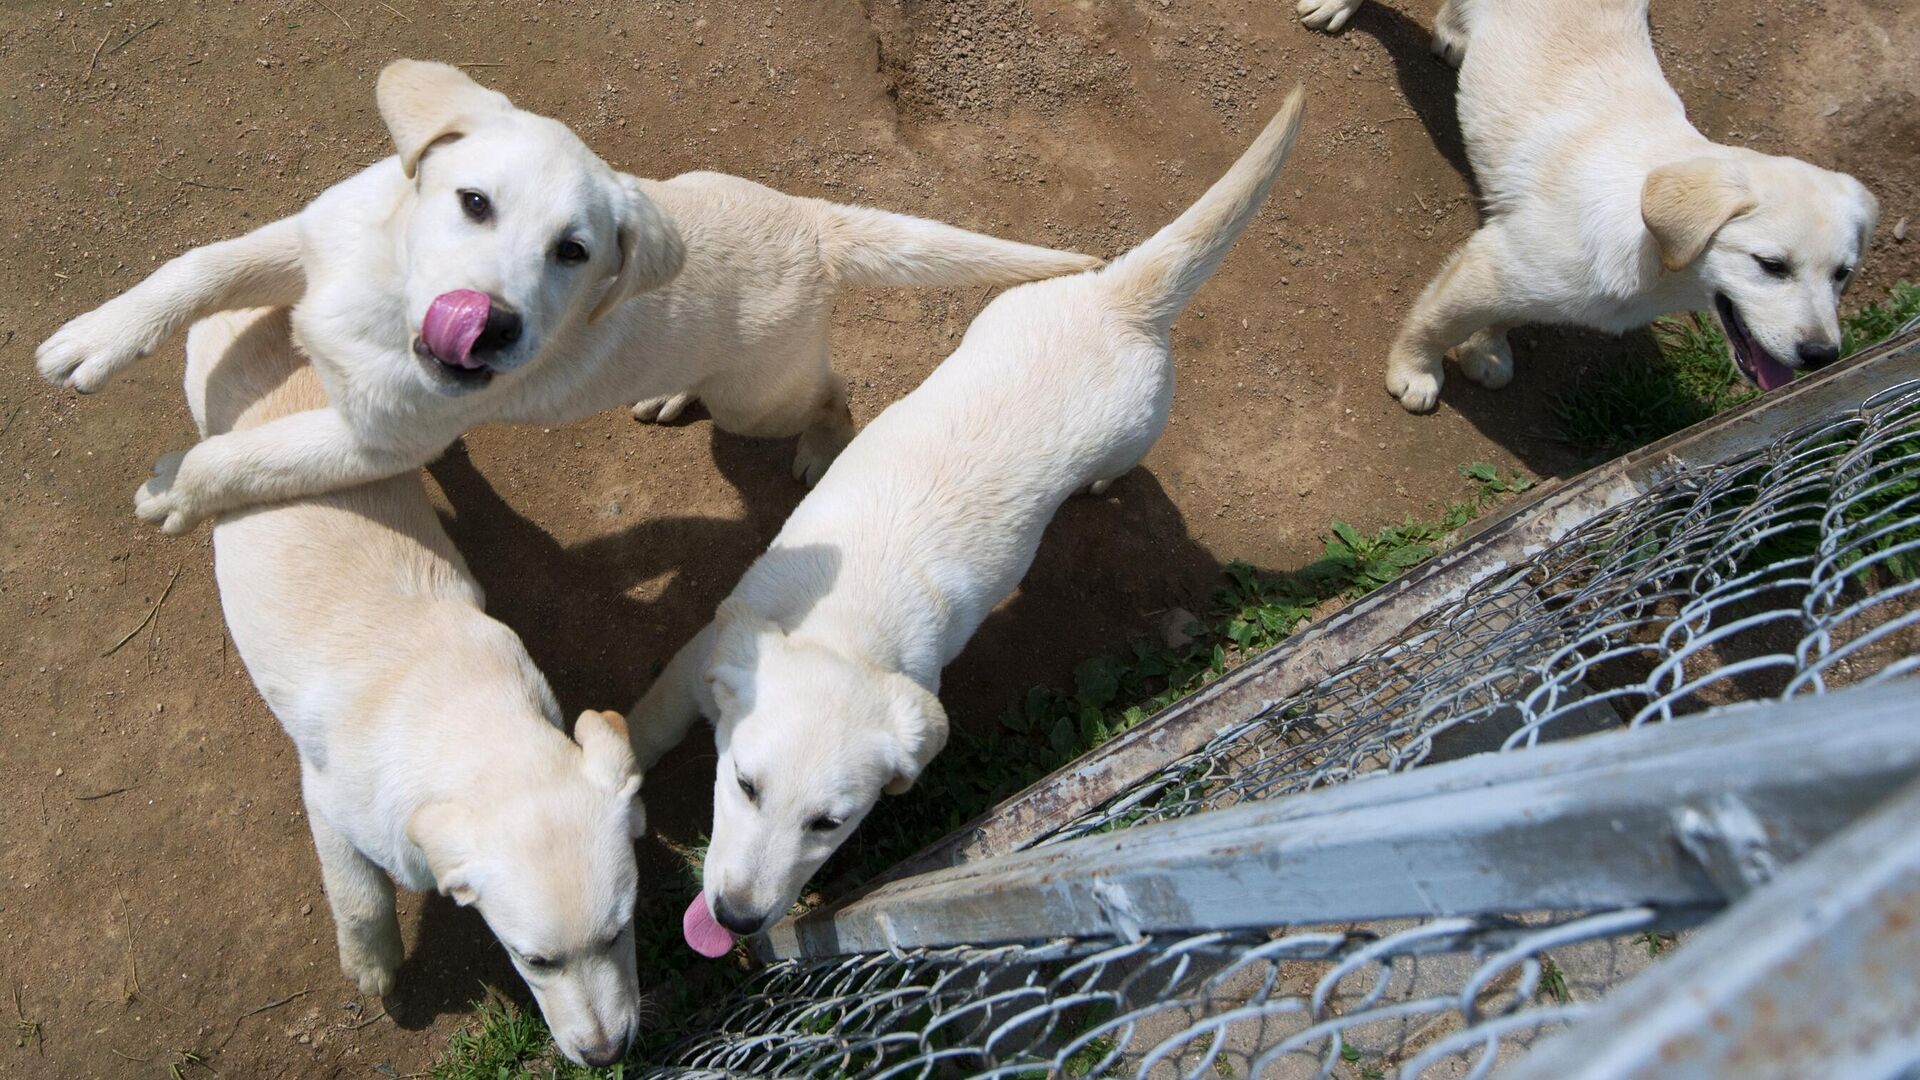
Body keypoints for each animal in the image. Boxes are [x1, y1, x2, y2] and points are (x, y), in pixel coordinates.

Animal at [37, 58, 1105, 530]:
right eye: (472, 202)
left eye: (574, 251)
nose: (492, 332)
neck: (382, 304)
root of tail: (808, 220)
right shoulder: (311, 242)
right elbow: (198, 264)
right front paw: (96, 336)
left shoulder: (380, 441)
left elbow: (249, 459)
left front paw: (178, 489)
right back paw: (669, 390)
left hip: (760, 398)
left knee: (830, 389)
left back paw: (818, 444)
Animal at [191, 307, 648, 1060]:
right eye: (534, 960)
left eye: (620, 930)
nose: (608, 1054)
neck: (467, 709)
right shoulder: (328, 803)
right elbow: (359, 896)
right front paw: (372, 965)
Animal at [629, 94, 1305, 949]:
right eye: (743, 785)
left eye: (829, 824)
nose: (736, 920)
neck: (849, 627)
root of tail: (1115, 298)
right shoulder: (707, 648)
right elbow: (650, 719)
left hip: (1140, 425)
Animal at [1305, 0, 1873, 409]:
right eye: (1771, 265)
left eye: (1842, 275)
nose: (1823, 356)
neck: (1648, 246)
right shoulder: (1492, 265)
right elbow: (1434, 322)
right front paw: (1415, 372)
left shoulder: (1516, 270)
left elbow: (1505, 316)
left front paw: (1485, 350)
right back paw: (1336, 4)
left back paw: (1454, 31)